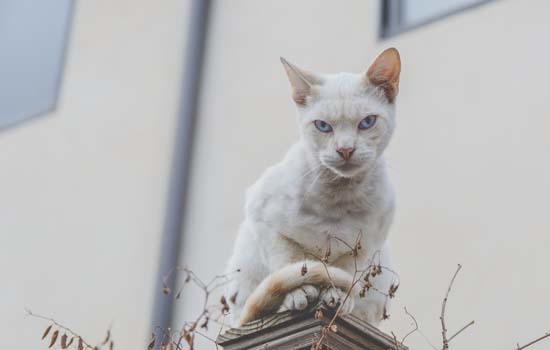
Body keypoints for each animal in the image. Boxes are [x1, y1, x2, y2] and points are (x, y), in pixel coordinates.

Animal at [223, 47, 402, 326]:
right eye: (322, 126)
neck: (337, 198)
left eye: (367, 122)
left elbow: (345, 275)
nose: (345, 150)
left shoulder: (365, 246)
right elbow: (290, 264)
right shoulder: (265, 222)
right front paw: (297, 294)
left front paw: (338, 298)